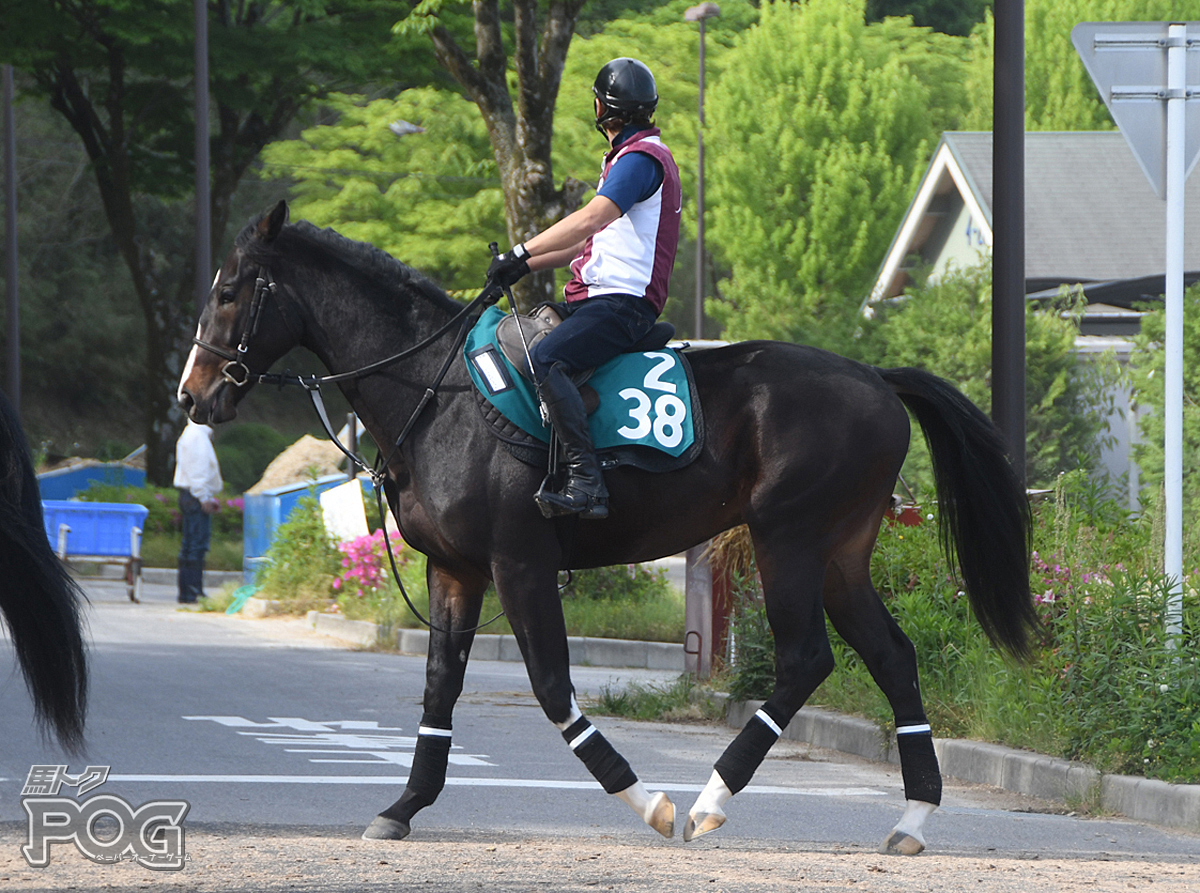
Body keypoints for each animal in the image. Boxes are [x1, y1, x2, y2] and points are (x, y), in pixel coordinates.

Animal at [180, 204, 1041, 859]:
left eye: (229, 290)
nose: (192, 395)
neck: (441, 392)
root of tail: (875, 378)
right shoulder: (455, 570)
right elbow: (439, 688)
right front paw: (404, 805)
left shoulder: (520, 564)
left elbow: (553, 687)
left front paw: (647, 800)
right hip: (839, 555)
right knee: (893, 657)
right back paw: (912, 814)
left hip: (787, 539)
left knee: (804, 660)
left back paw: (710, 796)